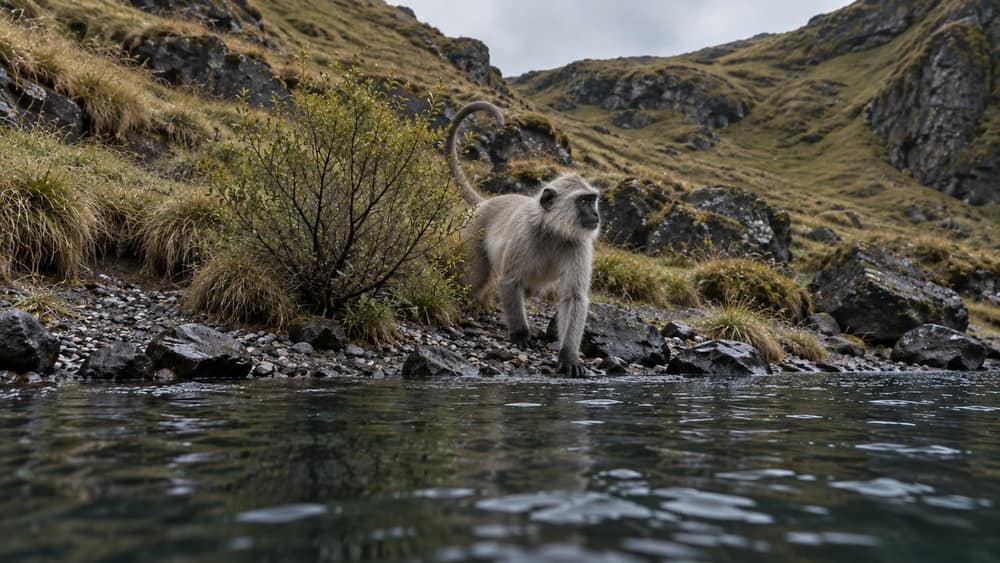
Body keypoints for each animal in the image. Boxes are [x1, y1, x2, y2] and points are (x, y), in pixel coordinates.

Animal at [445, 101, 600, 376]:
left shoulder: (578, 244)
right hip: (475, 232)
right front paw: (520, 334)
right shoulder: (525, 234)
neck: (554, 231)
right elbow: (510, 281)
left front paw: (569, 355)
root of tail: (486, 203)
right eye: (583, 202)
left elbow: (574, 297)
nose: (595, 214)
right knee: (478, 277)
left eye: (592, 201)